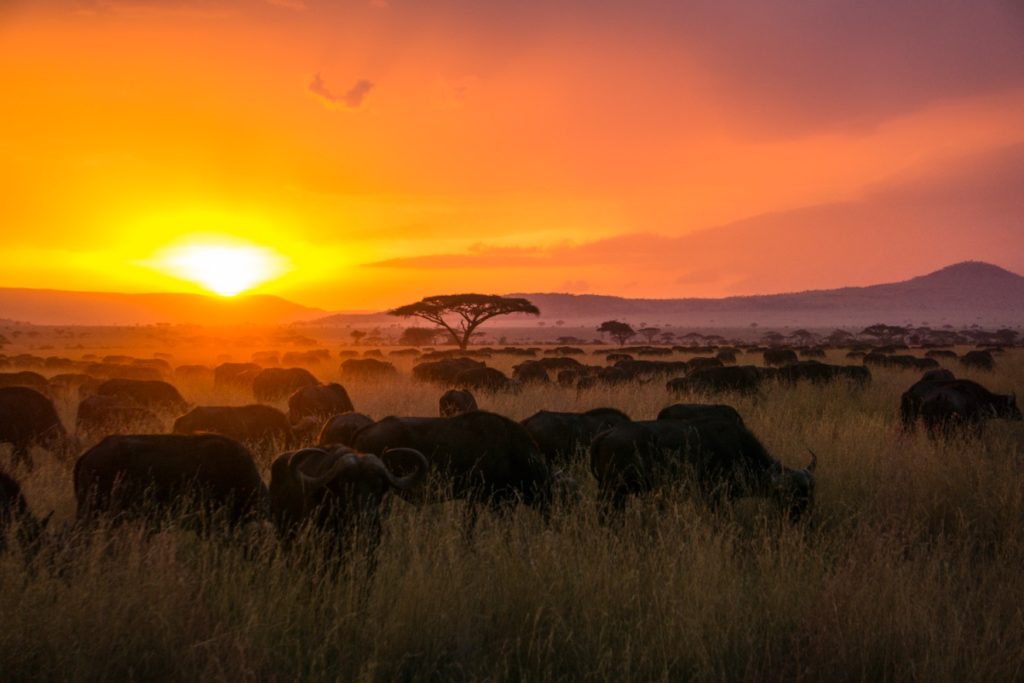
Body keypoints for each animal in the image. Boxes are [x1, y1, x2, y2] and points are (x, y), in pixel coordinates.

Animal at [593, 417, 815, 524]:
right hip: (613, 491)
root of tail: (607, 433)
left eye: (808, 493)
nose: (802, 518)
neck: (738, 449)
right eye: (789, 495)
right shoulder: (716, 497)